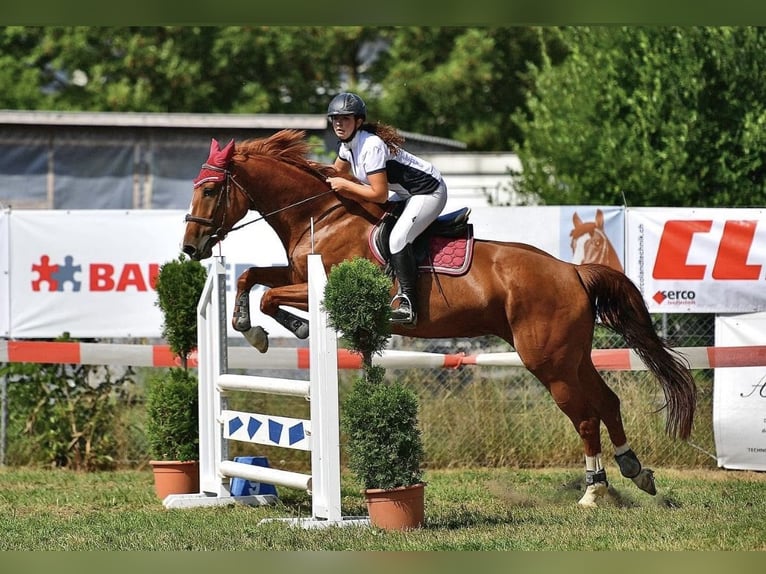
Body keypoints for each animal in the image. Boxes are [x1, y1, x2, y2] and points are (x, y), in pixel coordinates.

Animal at [183, 130, 700, 508]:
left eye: (209, 190)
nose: (191, 249)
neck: (323, 214)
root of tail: (572, 270)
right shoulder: (294, 274)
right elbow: (251, 276)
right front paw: (251, 327)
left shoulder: (319, 286)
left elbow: (271, 295)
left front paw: (283, 330)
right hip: (571, 356)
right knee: (607, 402)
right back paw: (636, 471)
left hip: (547, 361)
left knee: (585, 417)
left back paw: (595, 490)